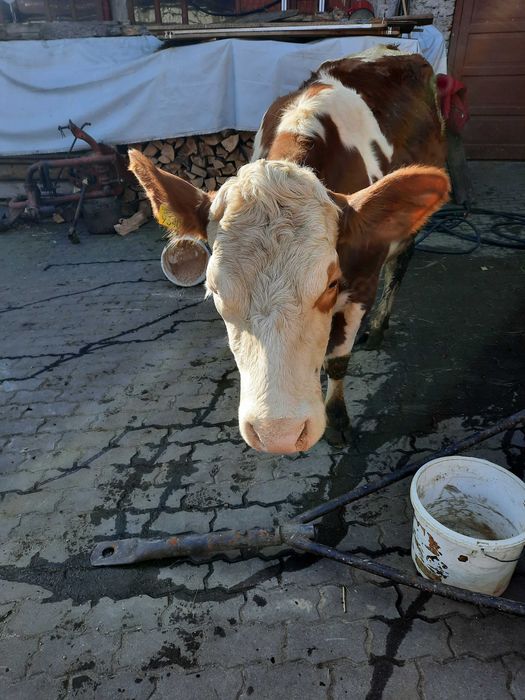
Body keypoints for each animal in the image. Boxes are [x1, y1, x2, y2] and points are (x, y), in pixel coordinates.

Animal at [129, 46, 449, 455]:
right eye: (214, 292)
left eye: (330, 284)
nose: (277, 434)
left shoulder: (363, 278)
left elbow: (338, 359)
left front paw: (339, 419)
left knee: (401, 263)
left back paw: (378, 327)